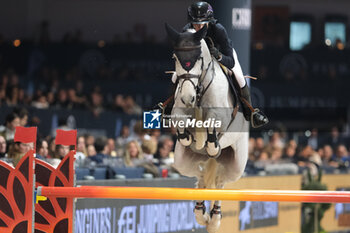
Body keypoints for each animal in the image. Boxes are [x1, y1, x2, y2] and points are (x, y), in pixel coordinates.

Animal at [166, 24, 250, 233]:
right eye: (175, 58)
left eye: (198, 58)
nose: (188, 98)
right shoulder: (179, 110)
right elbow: (180, 121)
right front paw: (190, 138)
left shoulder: (220, 117)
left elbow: (212, 127)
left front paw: (211, 145)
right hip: (182, 162)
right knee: (201, 177)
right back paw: (201, 213)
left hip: (236, 166)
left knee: (220, 183)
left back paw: (214, 219)